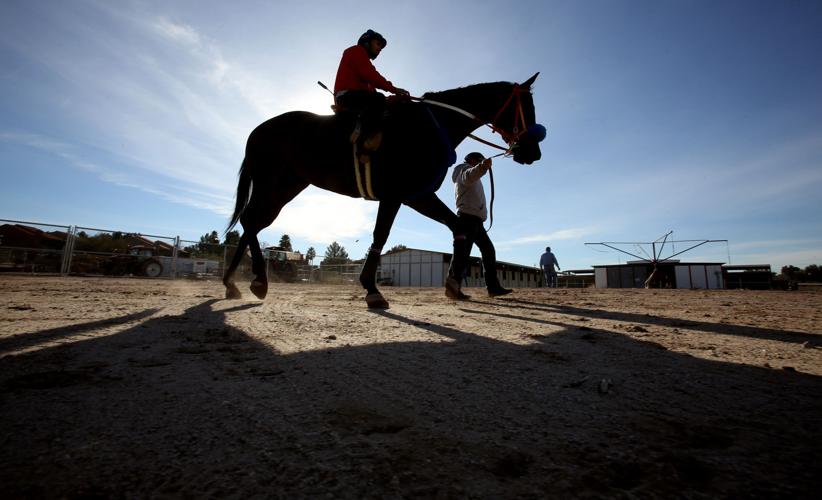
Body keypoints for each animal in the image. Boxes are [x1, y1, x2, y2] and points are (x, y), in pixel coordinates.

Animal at [223, 72, 544, 309]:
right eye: (526, 108)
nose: (533, 151)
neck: (430, 126)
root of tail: (258, 130)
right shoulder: (396, 196)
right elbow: (381, 235)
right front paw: (372, 289)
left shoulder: (418, 196)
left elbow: (459, 229)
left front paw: (454, 283)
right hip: (272, 185)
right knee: (251, 222)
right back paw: (256, 281)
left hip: (285, 187)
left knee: (252, 223)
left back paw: (233, 283)